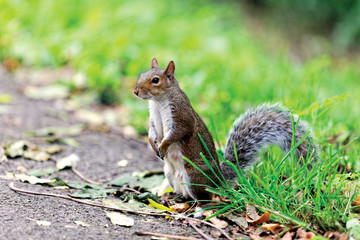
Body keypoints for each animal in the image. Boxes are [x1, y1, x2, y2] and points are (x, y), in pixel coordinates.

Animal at [133, 58, 318, 201]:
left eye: (155, 80)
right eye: (141, 75)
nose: (135, 91)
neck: (158, 102)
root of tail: (217, 179)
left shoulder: (181, 116)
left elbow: (177, 133)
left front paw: (163, 145)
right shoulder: (153, 120)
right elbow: (151, 133)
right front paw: (154, 145)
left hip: (193, 175)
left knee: (205, 198)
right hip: (170, 174)